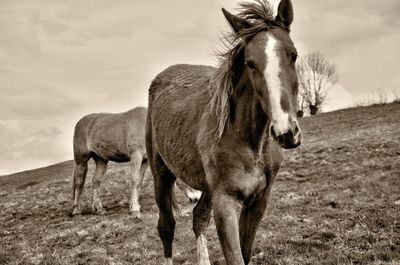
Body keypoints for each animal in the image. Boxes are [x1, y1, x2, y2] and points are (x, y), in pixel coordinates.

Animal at [71, 106, 200, 218]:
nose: (196, 199)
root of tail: (80, 122)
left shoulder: (146, 160)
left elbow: (140, 182)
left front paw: (179, 211)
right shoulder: (136, 156)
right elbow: (135, 180)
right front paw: (134, 209)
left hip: (100, 159)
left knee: (96, 181)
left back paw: (100, 209)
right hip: (81, 160)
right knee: (79, 182)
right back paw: (76, 210)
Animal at [145, 0, 302, 262]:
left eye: (293, 55)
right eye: (250, 63)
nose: (285, 132)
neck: (252, 143)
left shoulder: (258, 202)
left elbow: (244, 253)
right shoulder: (226, 204)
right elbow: (235, 257)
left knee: (198, 218)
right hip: (162, 176)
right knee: (166, 226)